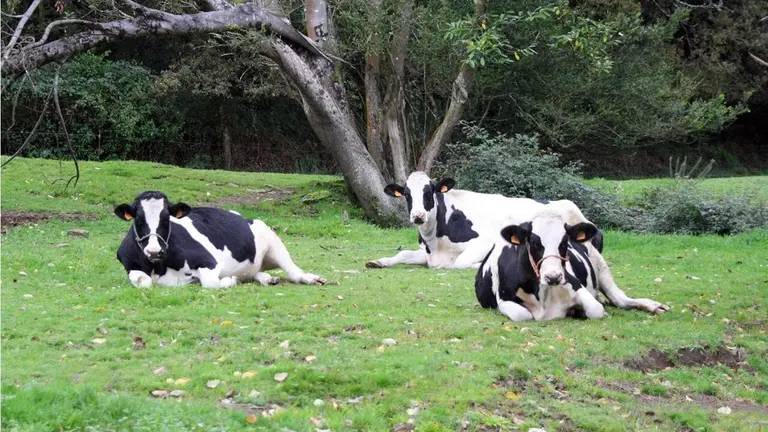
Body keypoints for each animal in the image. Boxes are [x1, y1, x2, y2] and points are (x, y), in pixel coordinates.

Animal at [114, 191, 326, 289]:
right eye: (138, 219)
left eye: (166, 219)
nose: (154, 251)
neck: (159, 267)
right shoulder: (131, 266)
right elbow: (144, 281)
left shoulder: (209, 261)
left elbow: (211, 282)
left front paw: (229, 280)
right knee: (254, 273)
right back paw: (267, 278)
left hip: (271, 238)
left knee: (293, 270)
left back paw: (310, 278)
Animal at [366, 171, 594, 270]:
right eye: (406, 194)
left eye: (429, 192)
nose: (418, 216)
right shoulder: (427, 254)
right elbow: (403, 253)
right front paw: (378, 262)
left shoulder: (486, 241)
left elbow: (459, 262)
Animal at [475, 211, 669, 321]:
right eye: (534, 242)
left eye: (564, 242)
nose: (553, 277)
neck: (542, 296)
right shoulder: (504, 299)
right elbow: (522, 315)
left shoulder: (576, 285)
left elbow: (596, 309)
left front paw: (581, 312)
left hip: (602, 268)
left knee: (621, 300)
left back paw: (654, 306)